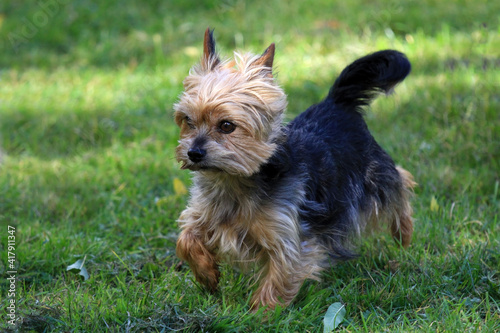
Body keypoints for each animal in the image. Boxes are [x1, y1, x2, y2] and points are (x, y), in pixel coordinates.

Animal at [174, 28, 416, 308]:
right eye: (188, 121)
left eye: (226, 126)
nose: (193, 153)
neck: (233, 180)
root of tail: (336, 101)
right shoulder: (204, 214)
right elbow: (186, 238)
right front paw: (207, 274)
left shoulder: (289, 236)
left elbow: (279, 278)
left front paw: (260, 313)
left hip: (373, 173)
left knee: (401, 180)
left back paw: (403, 235)